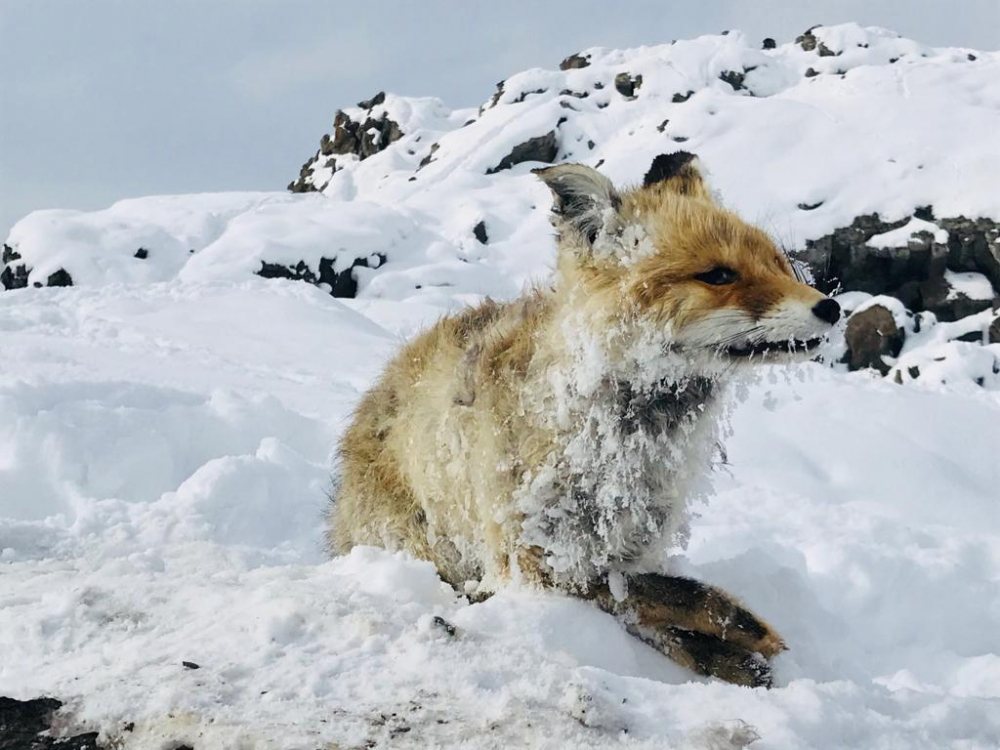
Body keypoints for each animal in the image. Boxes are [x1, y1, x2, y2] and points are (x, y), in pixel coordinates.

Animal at [326, 151, 836, 688]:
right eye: (718, 276)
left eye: (777, 262)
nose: (831, 307)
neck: (616, 446)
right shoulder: (534, 561)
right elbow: (641, 593)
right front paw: (733, 632)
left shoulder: (628, 542)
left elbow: (646, 603)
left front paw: (727, 655)